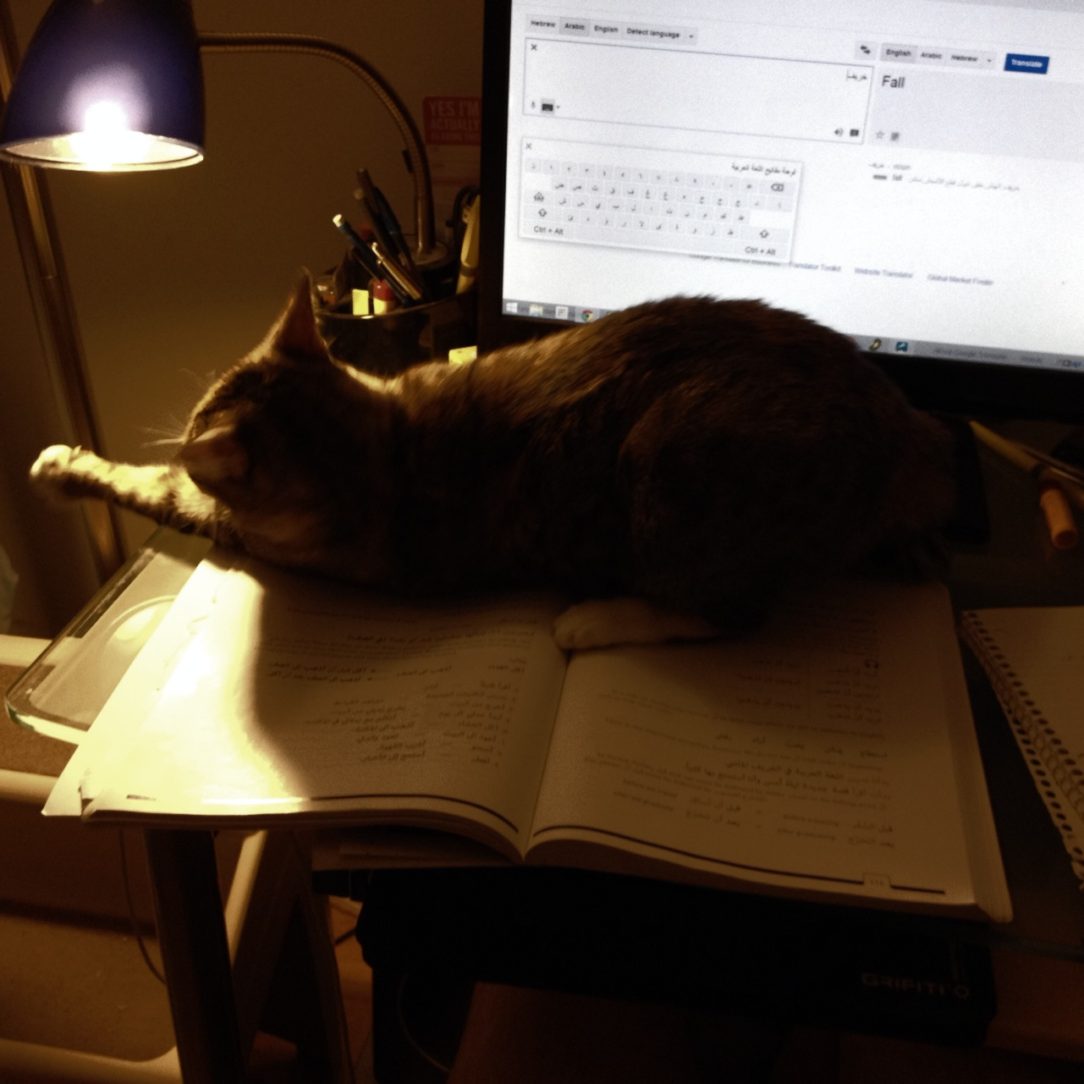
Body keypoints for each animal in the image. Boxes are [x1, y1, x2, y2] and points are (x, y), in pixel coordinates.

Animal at [30, 275, 957, 649]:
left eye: (196, 417)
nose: (187, 419)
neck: (375, 438)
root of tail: (903, 430)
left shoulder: (233, 521)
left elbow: (151, 483)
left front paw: (66, 460)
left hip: (672, 455)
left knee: (729, 611)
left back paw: (595, 622)